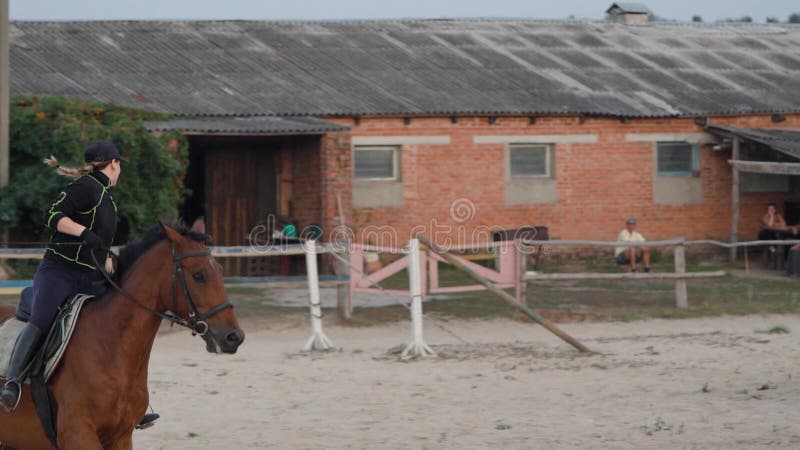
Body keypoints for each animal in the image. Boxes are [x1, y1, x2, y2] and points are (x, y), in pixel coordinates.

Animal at [0, 223, 245, 448]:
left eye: (220, 271)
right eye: (198, 275)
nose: (234, 337)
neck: (112, 348)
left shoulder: (121, 436)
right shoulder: (77, 434)